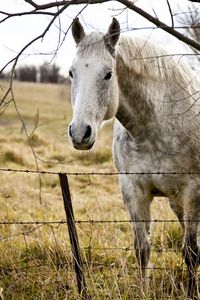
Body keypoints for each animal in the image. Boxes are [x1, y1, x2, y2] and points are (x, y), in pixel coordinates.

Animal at [68, 18, 200, 298]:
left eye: (108, 74)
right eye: (72, 73)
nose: (80, 132)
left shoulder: (193, 191)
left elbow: (192, 252)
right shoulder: (134, 190)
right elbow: (142, 249)